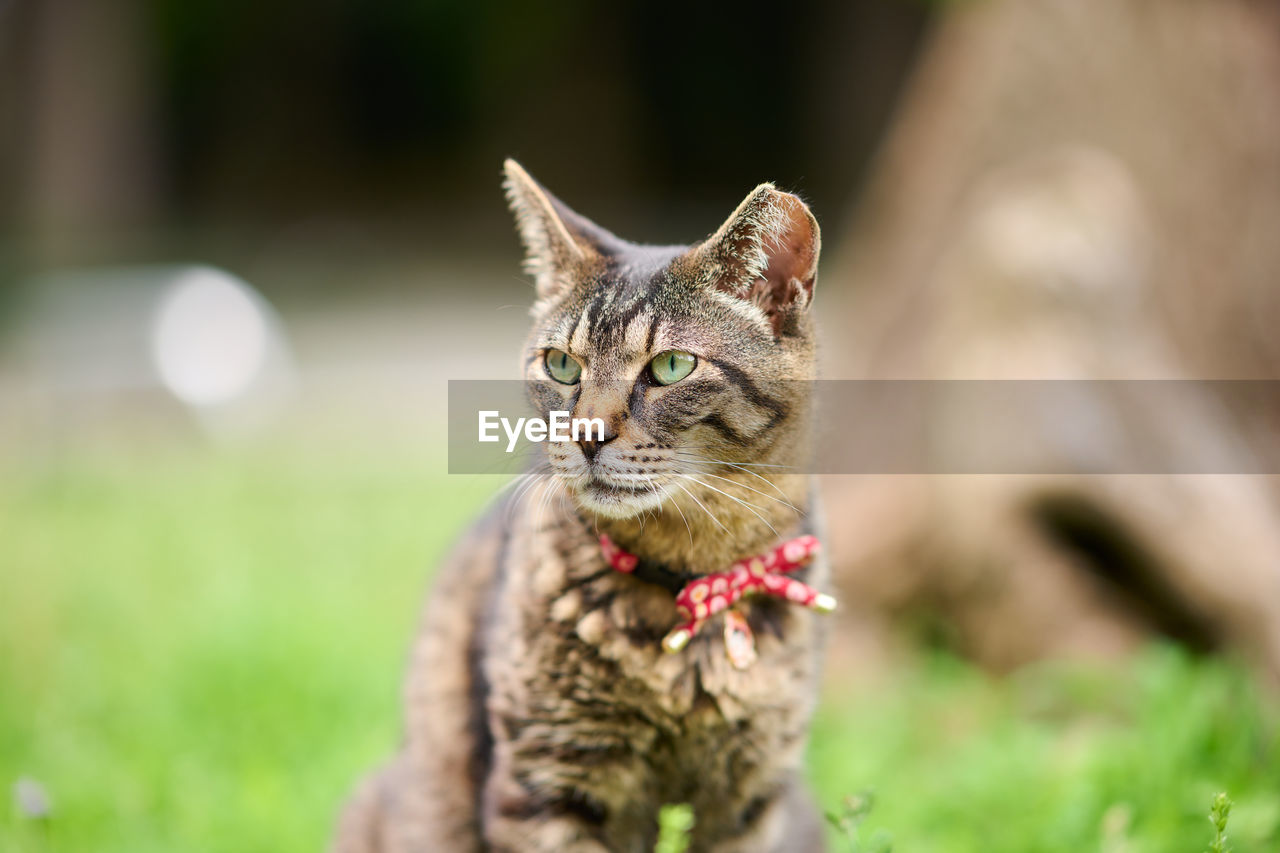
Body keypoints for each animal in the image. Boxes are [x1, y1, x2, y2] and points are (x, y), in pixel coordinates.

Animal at [330, 159, 829, 850]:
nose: (587, 434)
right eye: (562, 364)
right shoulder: (544, 781)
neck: (690, 577)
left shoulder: (749, 801)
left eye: (672, 365)